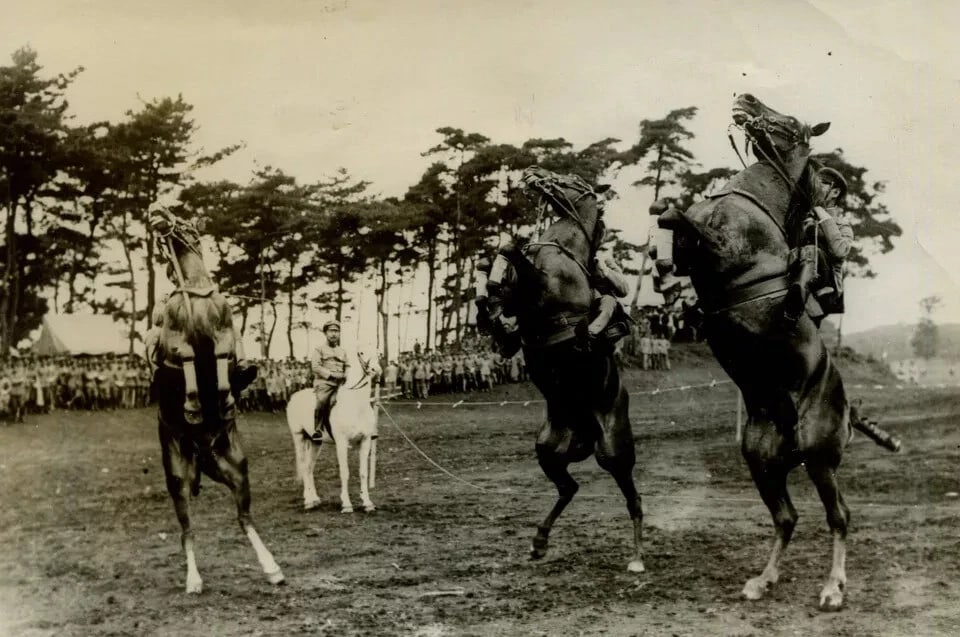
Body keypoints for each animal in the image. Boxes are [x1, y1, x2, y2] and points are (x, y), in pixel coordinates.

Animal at [150, 211, 284, 594]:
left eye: (180, 216)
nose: (156, 212)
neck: (195, 289)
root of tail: (202, 453)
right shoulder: (177, 342)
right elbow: (188, 358)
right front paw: (194, 405)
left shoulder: (223, 333)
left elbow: (223, 357)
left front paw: (223, 398)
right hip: (177, 476)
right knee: (187, 531)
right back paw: (193, 579)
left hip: (237, 468)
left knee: (244, 518)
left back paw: (273, 569)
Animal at [286, 345, 382, 513]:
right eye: (361, 352)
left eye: (377, 352)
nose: (376, 370)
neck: (356, 405)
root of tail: (294, 396)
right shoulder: (342, 443)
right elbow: (345, 473)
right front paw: (347, 504)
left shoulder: (365, 441)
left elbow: (363, 473)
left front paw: (367, 503)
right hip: (298, 437)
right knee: (304, 466)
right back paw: (308, 501)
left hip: (315, 442)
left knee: (309, 468)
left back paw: (315, 499)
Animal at [486, 166, 644, 573]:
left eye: (571, 178)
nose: (533, 172)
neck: (560, 246)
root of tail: (585, 432)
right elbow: (506, 266)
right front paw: (490, 304)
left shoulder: (548, 289)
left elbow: (513, 252)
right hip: (548, 449)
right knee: (569, 488)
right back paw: (539, 541)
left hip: (614, 450)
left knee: (632, 497)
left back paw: (637, 557)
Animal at [657, 93, 899, 611]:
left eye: (790, 120)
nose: (745, 99)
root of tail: (847, 412)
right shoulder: (692, 255)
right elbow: (676, 232)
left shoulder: (728, 252)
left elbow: (692, 227)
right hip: (762, 461)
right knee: (786, 517)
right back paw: (762, 580)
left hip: (819, 456)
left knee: (839, 515)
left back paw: (832, 589)